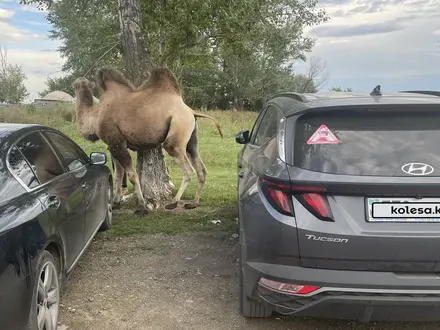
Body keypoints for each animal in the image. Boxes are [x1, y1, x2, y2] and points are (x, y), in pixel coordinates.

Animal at [74, 66, 223, 215]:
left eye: (75, 86)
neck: (95, 117)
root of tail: (191, 111)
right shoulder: (113, 145)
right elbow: (118, 174)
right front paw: (116, 202)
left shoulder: (118, 144)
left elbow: (132, 175)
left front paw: (142, 207)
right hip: (191, 137)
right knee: (200, 166)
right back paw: (193, 203)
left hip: (177, 130)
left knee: (188, 169)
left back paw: (173, 202)